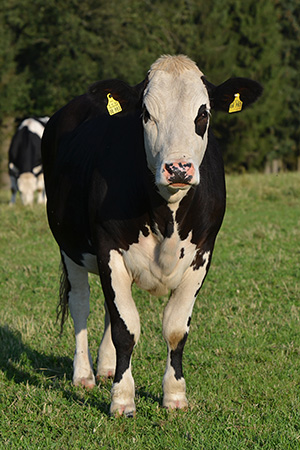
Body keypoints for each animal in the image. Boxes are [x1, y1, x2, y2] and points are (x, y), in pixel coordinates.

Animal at [41, 54, 262, 416]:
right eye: (146, 114)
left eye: (203, 113)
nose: (178, 168)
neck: (167, 217)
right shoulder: (107, 247)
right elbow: (126, 328)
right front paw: (122, 399)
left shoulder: (203, 252)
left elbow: (174, 328)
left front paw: (174, 395)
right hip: (68, 245)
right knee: (81, 304)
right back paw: (84, 374)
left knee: (107, 307)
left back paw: (105, 367)